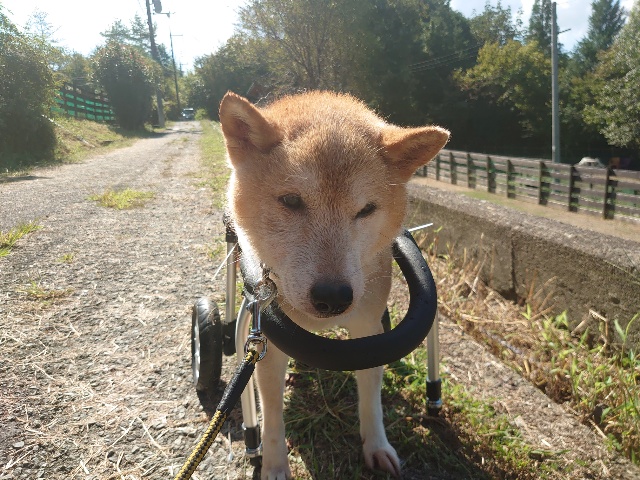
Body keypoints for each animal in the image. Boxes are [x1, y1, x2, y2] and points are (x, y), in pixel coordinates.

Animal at [219, 90, 449, 479]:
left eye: (366, 210)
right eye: (291, 201)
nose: (333, 297)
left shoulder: (369, 333)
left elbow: (371, 398)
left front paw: (377, 446)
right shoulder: (267, 344)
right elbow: (273, 419)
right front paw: (274, 465)